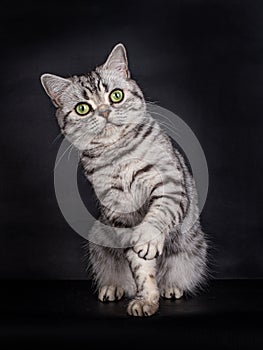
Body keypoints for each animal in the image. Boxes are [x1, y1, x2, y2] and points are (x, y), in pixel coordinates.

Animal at [40, 43, 208, 318]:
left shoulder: (170, 186)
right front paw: (146, 299)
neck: (117, 154)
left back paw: (171, 287)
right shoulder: (119, 212)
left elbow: (158, 214)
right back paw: (113, 288)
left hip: (192, 248)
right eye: (83, 108)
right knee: (120, 278)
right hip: (99, 242)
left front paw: (147, 241)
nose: (105, 111)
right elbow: (141, 268)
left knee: (176, 275)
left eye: (116, 96)